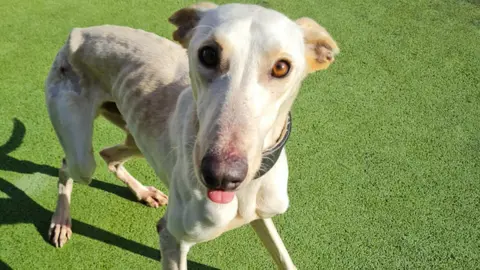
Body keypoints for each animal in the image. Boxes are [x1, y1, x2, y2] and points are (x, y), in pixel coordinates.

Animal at [44, 2, 338, 270]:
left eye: (281, 67)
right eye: (208, 54)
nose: (221, 177)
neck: (245, 192)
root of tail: (80, 33)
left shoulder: (260, 215)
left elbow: (283, 257)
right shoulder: (171, 236)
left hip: (137, 137)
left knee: (109, 155)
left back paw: (144, 193)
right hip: (82, 156)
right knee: (68, 165)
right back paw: (61, 221)